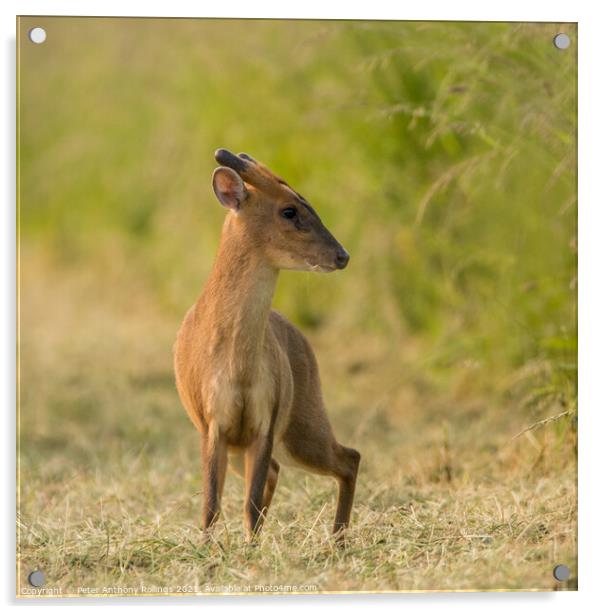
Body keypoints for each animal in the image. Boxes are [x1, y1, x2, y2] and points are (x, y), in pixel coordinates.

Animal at [173, 149, 360, 544]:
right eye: (289, 211)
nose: (342, 255)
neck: (236, 366)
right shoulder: (212, 423)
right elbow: (211, 505)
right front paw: (208, 547)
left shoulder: (266, 417)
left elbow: (250, 503)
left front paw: (249, 547)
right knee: (281, 470)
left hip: (303, 418)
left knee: (349, 457)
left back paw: (337, 538)